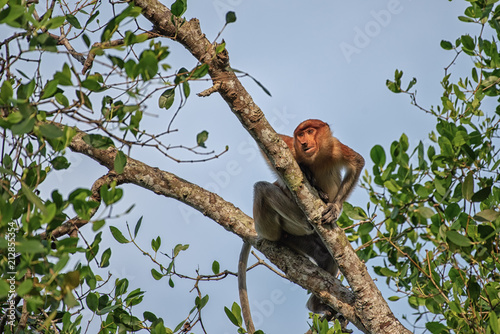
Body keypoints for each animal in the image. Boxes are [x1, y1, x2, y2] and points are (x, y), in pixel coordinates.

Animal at [238, 118, 364, 332]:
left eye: (311, 131)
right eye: (300, 135)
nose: (304, 143)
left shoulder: (336, 147)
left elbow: (357, 162)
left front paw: (334, 207)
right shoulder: (293, 149)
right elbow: (272, 144)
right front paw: (306, 172)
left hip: (299, 239)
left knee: (327, 255)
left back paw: (316, 305)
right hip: (274, 226)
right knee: (263, 188)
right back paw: (307, 219)